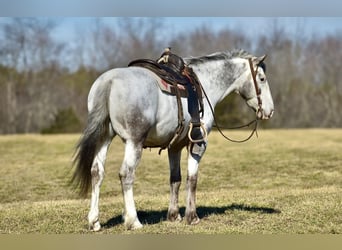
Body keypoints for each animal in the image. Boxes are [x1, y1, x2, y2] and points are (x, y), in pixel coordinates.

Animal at [72, 48, 276, 230]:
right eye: (262, 79)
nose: (270, 111)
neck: (205, 84)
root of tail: (109, 81)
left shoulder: (175, 146)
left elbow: (175, 179)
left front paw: (174, 215)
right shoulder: (198, 143)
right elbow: (192, 179)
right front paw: (192, 217)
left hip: (104, 138)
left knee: (97, 173)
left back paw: (94, 221)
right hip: (133, 142)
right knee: (126, 174)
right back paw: (133, 221)